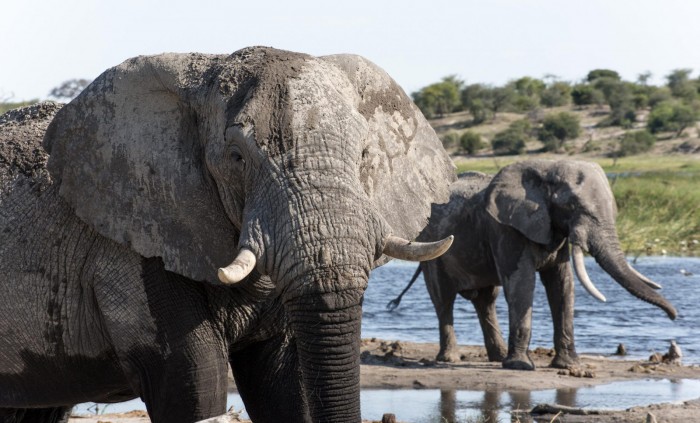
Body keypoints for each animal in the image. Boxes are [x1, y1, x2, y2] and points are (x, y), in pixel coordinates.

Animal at [388, 161, 680, 372]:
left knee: (486, 300)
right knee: (443, 299)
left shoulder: (553, 230)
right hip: (432, 247)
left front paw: (569, 365)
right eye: (571, 205)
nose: (674, 317)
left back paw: (496, 357)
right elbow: (521, 283)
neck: (544, 169)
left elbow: (562, 286)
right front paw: (520, 366)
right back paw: (450, 359)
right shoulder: (506, 230)